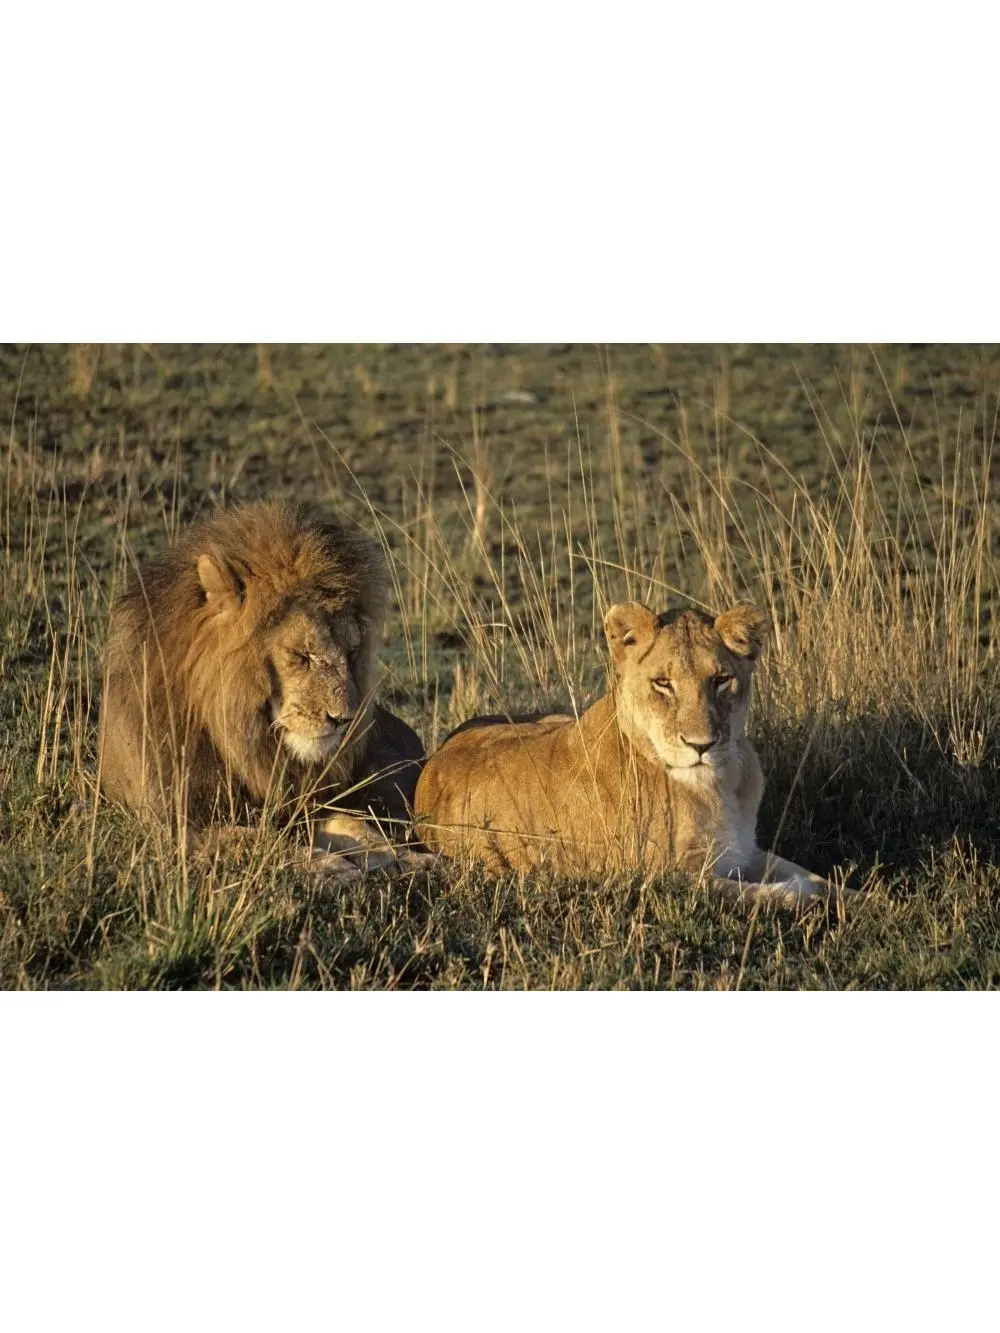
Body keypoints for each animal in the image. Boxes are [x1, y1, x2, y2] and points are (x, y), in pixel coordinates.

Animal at [97, 501, 428, 876]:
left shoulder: (304, 803)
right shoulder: (178, 825)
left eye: (352, 653)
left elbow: (351, 823)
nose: (343, 719)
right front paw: (331, 867)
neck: (244, 742)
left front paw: (403, 856)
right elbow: (259, 839)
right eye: (301, 656)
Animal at [414, 600, 842, 902]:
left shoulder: (744, 851)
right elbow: (767, 894)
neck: (718, 786)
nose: (701, 745)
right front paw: (800, 895)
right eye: (663, 683)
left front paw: (850, 896)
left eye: (721, 680)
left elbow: (821, 878)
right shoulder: (662, 877)